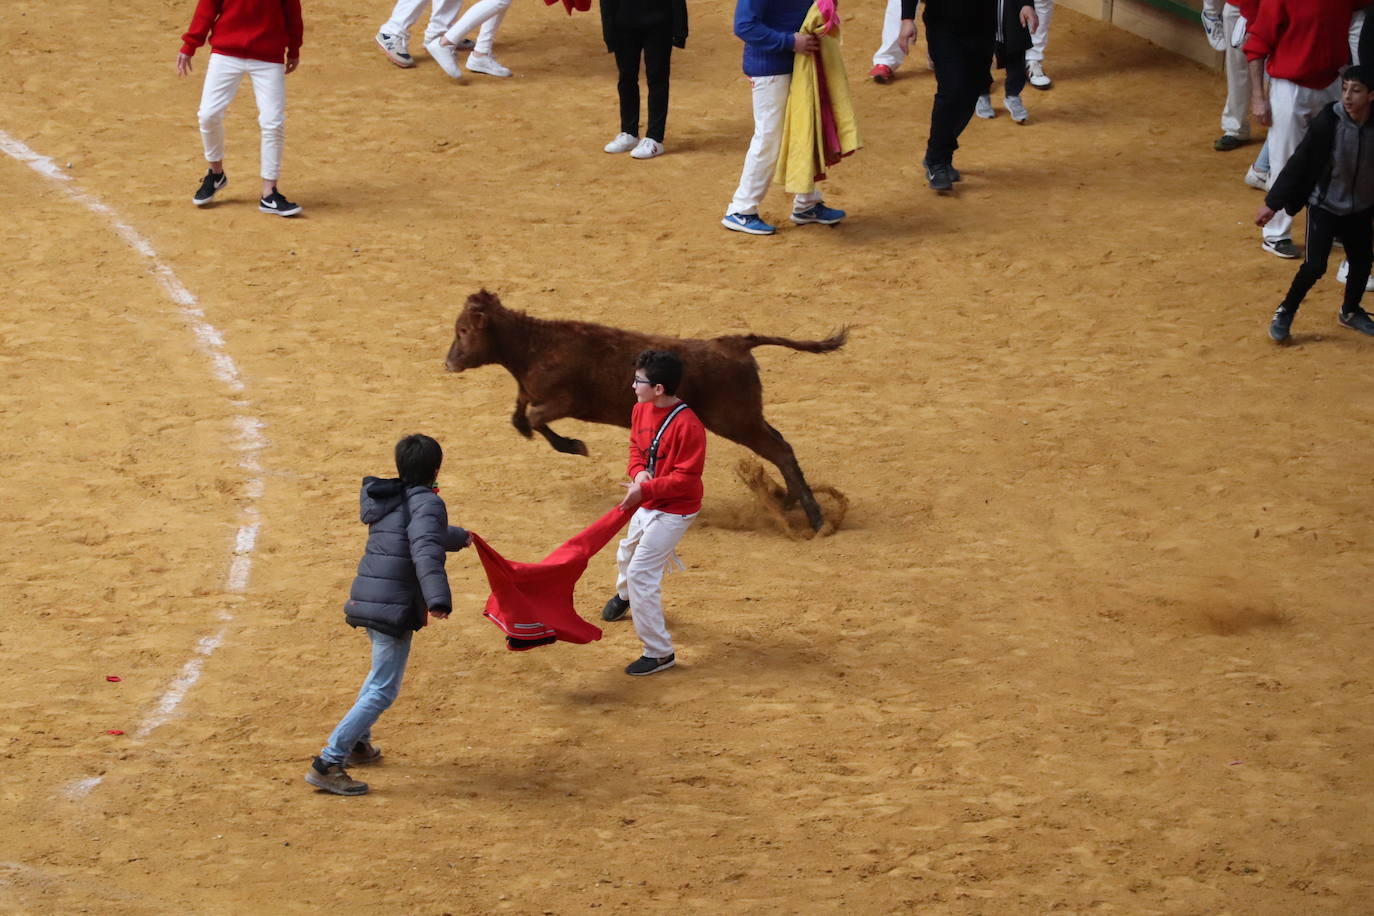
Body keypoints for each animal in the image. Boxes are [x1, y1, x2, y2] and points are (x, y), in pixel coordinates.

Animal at [439, 289, 846, 532]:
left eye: (464, 331)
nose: (449, 363)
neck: (535, 346)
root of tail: (734, 343)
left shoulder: (563, 401)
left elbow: (535, 419)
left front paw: (574, 445)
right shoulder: (529, 392)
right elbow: (519, 413)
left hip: (735, 420)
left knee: (780, 450)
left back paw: (815, 517)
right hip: (747, 417)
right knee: (781, 445)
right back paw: (790, 500)